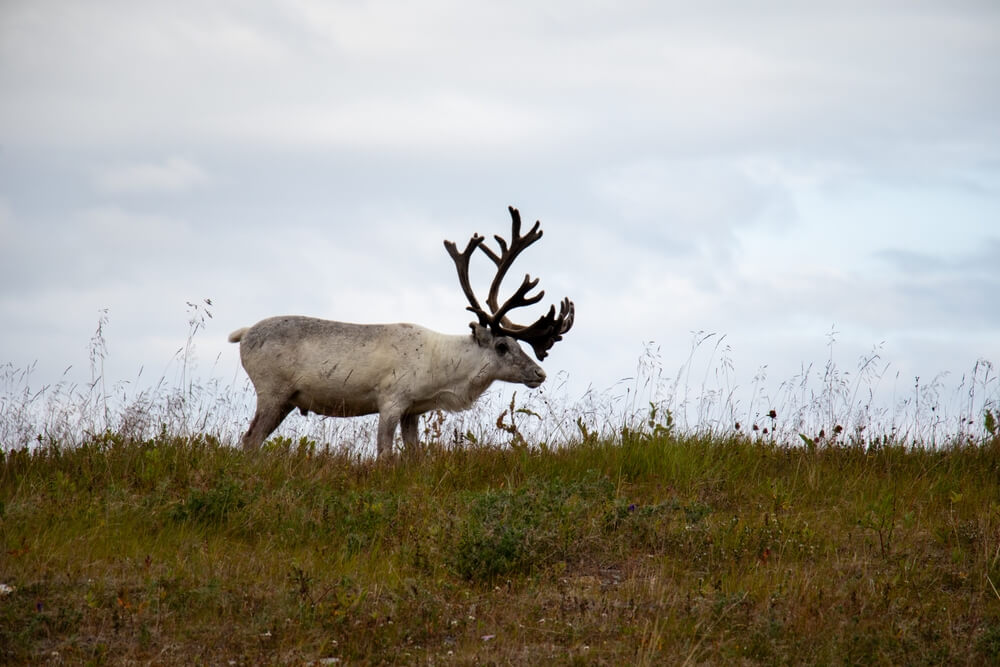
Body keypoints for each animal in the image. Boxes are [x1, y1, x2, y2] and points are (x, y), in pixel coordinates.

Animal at [228, 206, 574, 457]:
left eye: (520, 344)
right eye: (502, 346)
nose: (540, 373)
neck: (443, 370)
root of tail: (243, 335)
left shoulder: (414, 411)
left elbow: (415, 455)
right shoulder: (391, 400)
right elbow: (385, 454)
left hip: (286, 399)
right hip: (272, 391)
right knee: (250, 438)